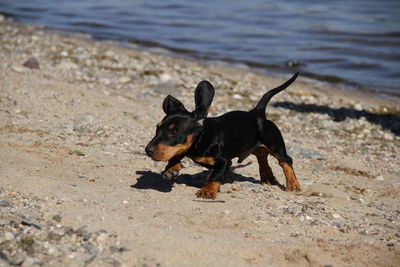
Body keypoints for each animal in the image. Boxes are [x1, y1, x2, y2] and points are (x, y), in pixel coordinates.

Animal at [146, 73, 300, 199]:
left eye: (174, 131)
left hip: (274, 143)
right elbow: (176, 154)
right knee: (262, 156)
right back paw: (267, 176)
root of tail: (257, 112)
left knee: (285, 161)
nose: (148, 150)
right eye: (157, 128)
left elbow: (216, 175)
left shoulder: (225, 161)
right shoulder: (185, 149)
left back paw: (293, 184)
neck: (201, 137)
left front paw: (207, 191)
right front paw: (171, 169)